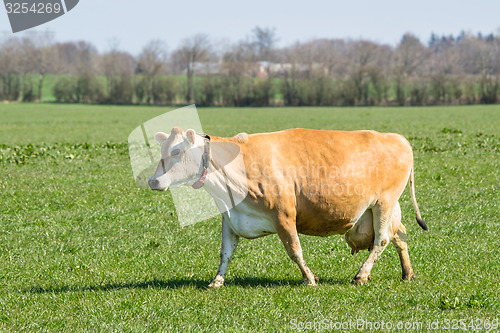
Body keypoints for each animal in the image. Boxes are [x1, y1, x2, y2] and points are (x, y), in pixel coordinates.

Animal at [147, 126, 426, 286]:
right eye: (161, 150)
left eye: (176, 152)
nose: (153, 180)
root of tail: (398, 138)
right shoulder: (232, 217)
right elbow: (226, 253)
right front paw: (217, 281)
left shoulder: (283, 215)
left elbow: (295, 251)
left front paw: (310, 279)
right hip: (382, 210)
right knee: (399, 235)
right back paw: (408, 273)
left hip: (383, 203)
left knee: (382, 239)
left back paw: (361, 275)